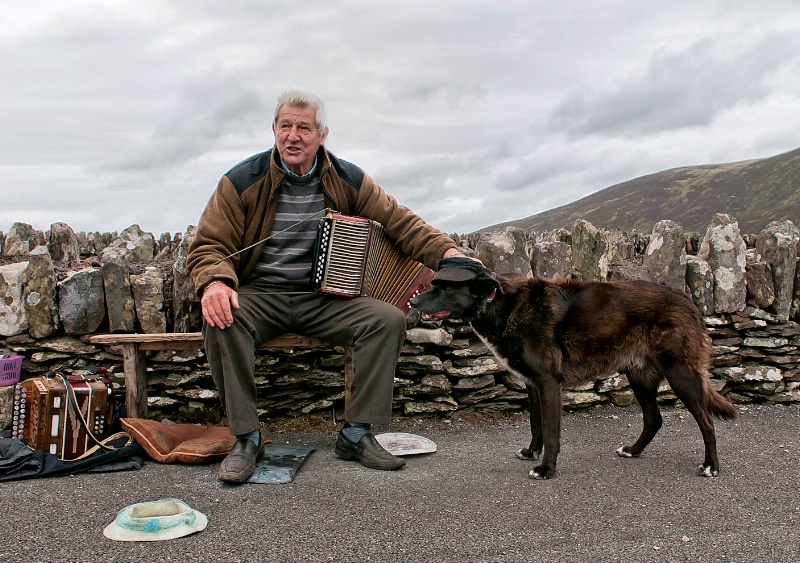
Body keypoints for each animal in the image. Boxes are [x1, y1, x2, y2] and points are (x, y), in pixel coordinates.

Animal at [412, 258, 736, 478]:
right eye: (433, 284)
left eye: (444, 288)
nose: (413, 301)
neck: (501, 304)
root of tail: (687, 299)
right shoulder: (532, 384)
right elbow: (536, 426)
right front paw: (531, 452)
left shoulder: (548, 383)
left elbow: (551, 432)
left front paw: (546, 468)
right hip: (639, 377)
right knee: (654, 420)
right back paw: (633, 451)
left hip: (680, 376)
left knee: (707, 422)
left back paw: (711, 465)